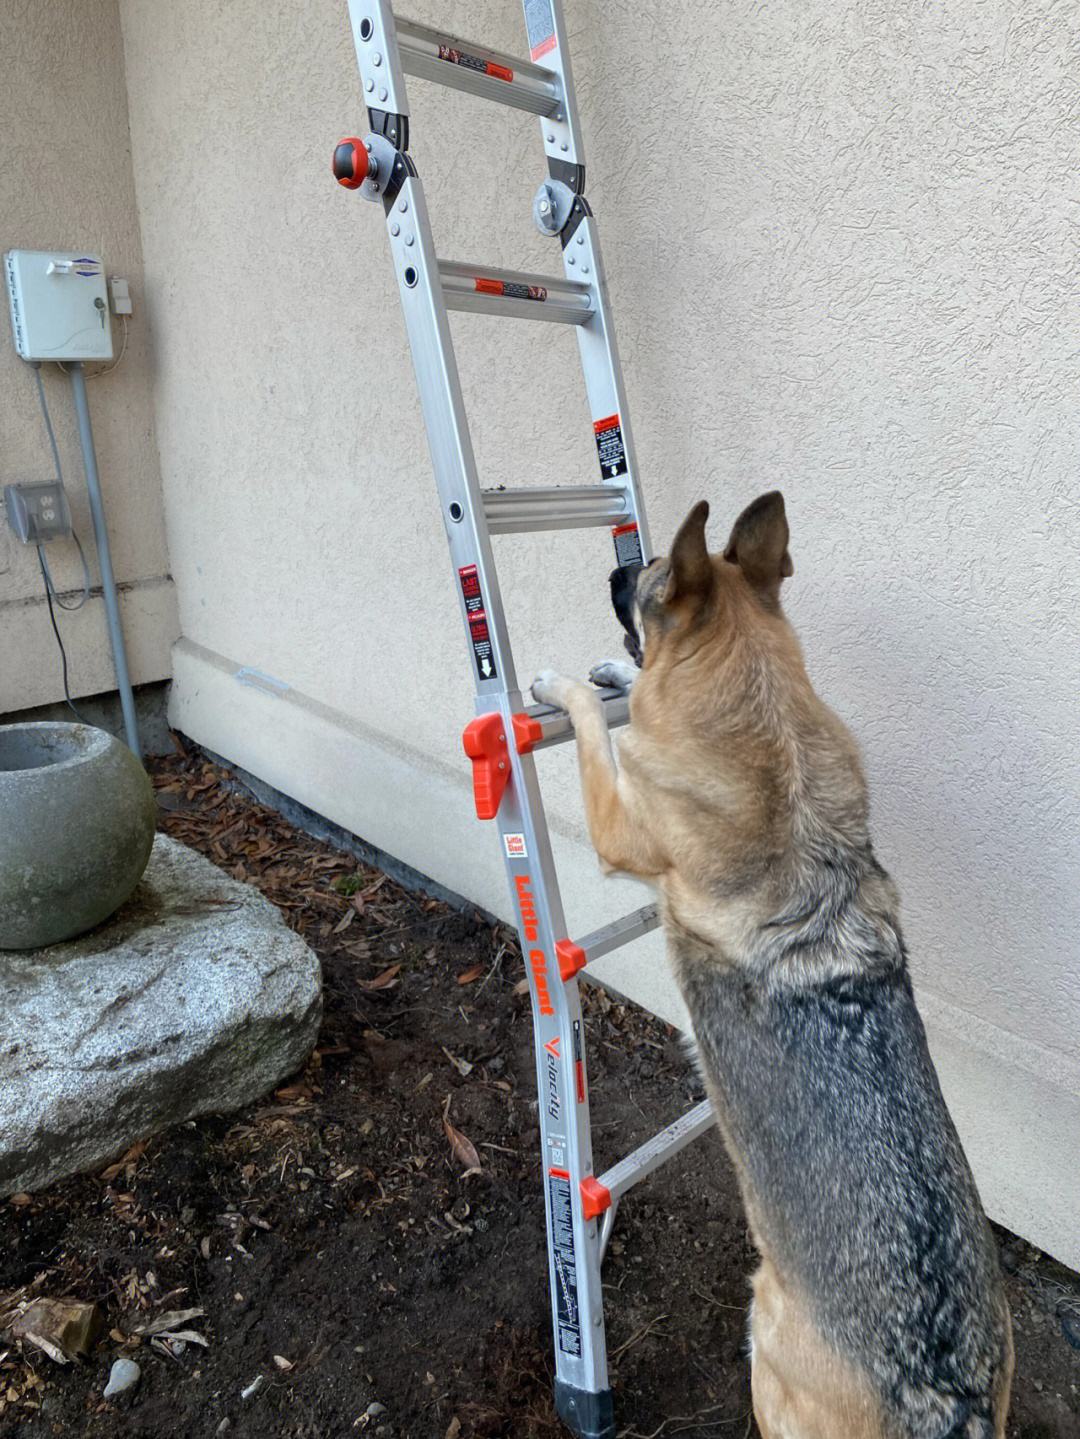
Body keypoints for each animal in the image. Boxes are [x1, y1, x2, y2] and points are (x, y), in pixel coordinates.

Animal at [532, 497, 1012, 1439]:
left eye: (647, 580)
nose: (615, 566)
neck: (776, 750)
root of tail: (944, 1393)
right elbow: (619, 698)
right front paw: (612, 669)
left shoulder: (619, 828)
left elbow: (594, 725)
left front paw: (560, 681)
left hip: (765, 1333)